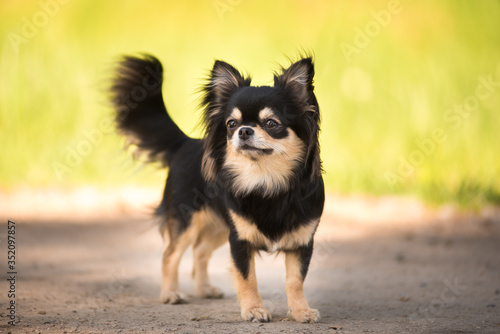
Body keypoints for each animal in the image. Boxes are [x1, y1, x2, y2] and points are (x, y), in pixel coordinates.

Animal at [109, 53, 324, 322]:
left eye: (271, 123)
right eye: (231, 124)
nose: (244, 130)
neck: (265, 180)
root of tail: (185, 143)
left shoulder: (301, 243)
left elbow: (295, 280)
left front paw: (300, 311)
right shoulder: (239, 240)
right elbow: (247, 278)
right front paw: (254, 309)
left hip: (220, 226)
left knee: (200, 250)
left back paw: (204, 289)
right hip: (188, 222)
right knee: (170, 255)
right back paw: (170, 294)